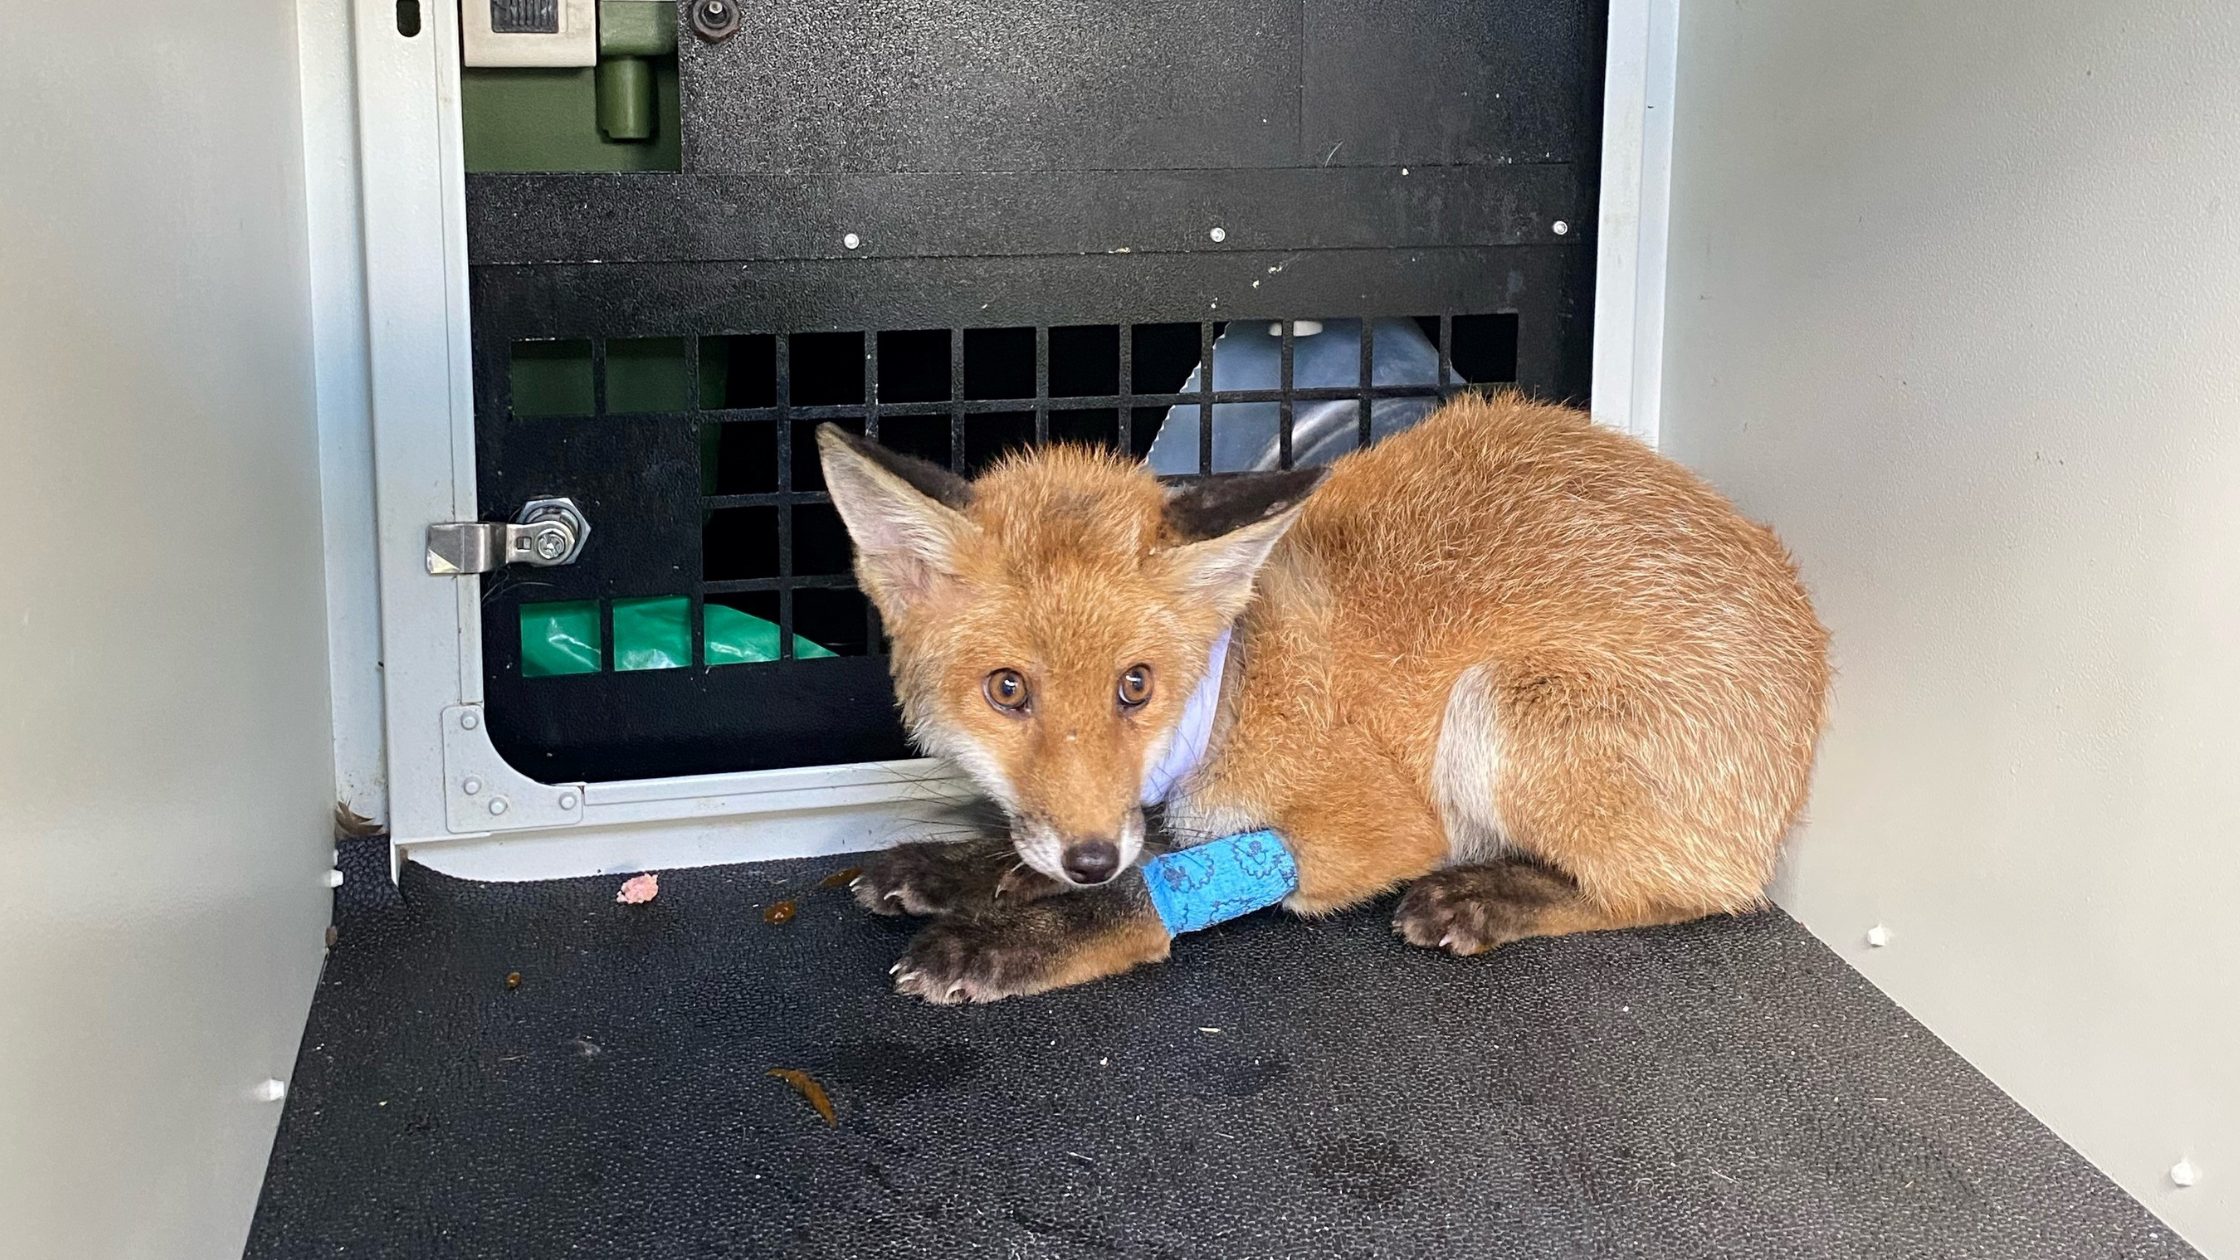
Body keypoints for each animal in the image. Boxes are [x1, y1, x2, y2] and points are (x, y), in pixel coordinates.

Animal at [816, 391, 1831, 1004]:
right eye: (1008, 689)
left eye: (1134, 686)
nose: (1089, 860)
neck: (1230, 684)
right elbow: (1071, 841)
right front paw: (966, 868)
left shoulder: (1377, 824)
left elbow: (1156, 885)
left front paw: (1021, 932)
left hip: (1500, 709)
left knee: (1690, 893)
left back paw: (1488, 898)